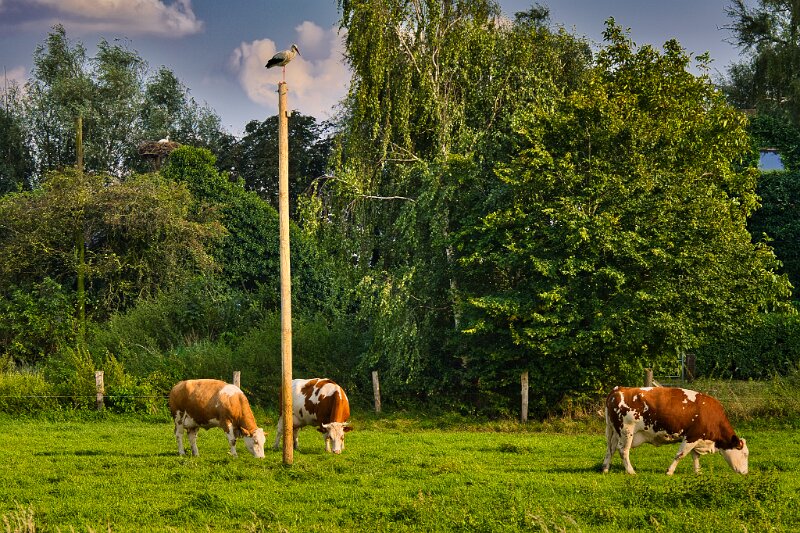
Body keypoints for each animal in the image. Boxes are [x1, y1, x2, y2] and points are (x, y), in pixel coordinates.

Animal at [602, 386, 748, 475]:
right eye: (745, 454)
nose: (746, 473)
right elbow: (681, 454)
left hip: (614, 432)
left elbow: (695, 456)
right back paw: (631, 471)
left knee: (610, 449)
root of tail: (619, 389)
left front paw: (698, 472)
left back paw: (605, 468)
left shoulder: (697, 438)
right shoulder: (692, 437)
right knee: (623, 450)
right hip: (627, 432)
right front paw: (670, 471)